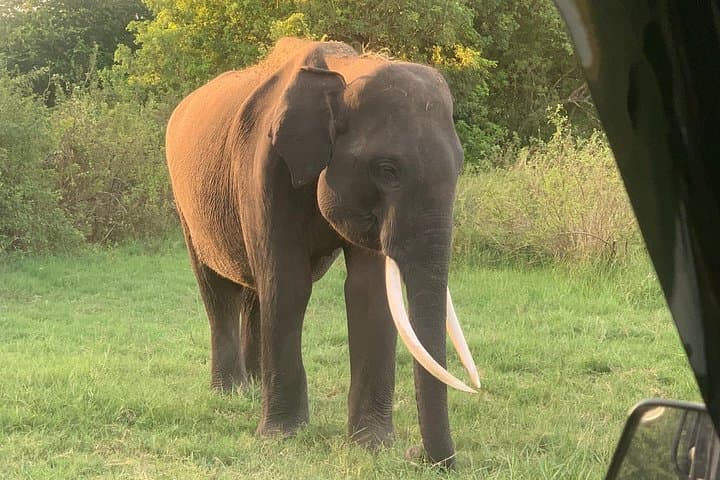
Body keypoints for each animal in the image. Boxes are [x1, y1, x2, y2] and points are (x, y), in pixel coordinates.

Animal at [165, 37, 480, 467]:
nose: (416, 453)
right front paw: (281, 437)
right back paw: (232, 393)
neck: (344, 70)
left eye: (460, 166)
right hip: (187, 205)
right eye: (387, 170)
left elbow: (367, 291)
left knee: (255, 290)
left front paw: (371, 445)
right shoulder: (264, 169)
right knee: (219, 290)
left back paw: (255, 388)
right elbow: (289, 283)